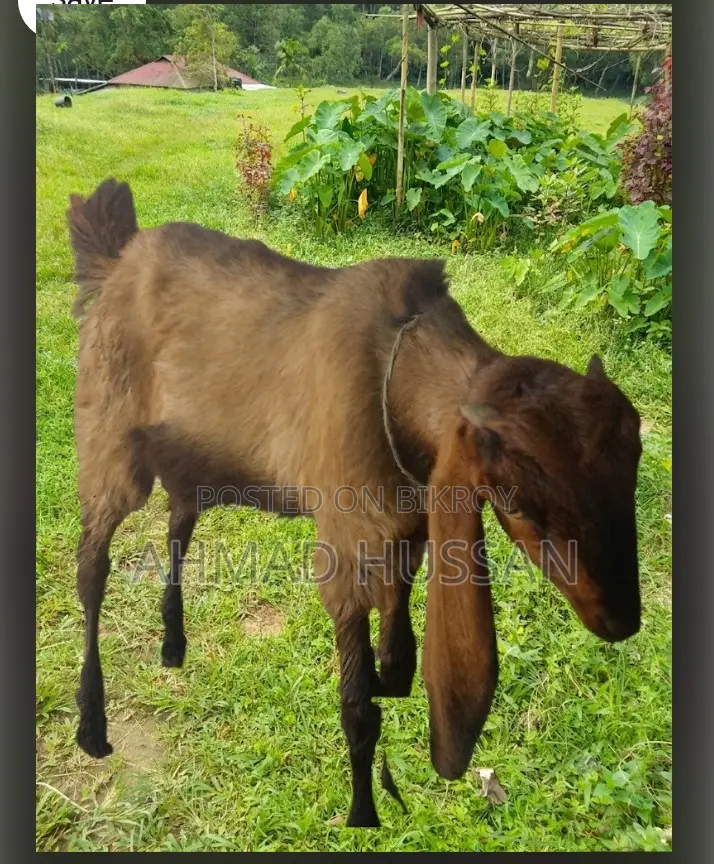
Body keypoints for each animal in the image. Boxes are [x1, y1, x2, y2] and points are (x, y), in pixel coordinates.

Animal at [67, 179, 643, 828]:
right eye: (514, 504)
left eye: (632, 474)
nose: (620, 621)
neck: (394, 379)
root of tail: (114, 260)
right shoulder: (343, 543)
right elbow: (357, 702)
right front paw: (364, 810)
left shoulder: (407, 529)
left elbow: (399, 643)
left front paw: (394, 678)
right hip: (109, 436)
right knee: (92, 564)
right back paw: (92, 724)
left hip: (188, 458)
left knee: (177, 527)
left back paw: (172, 644)